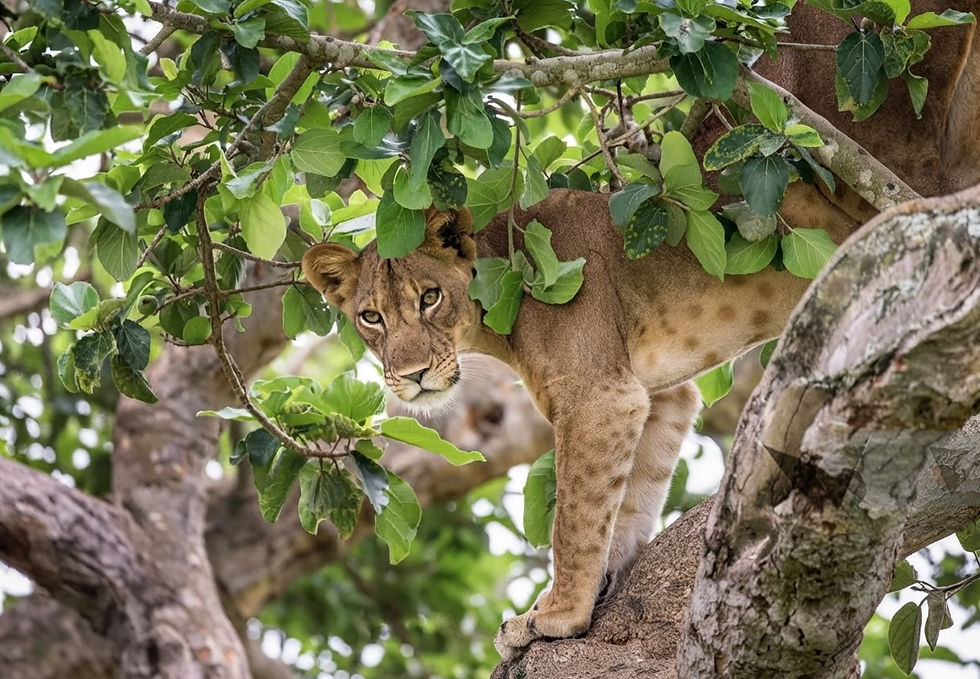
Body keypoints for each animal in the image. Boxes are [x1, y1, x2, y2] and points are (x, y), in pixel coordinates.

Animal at [302, 188, 861, 659]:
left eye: (430, 297)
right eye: (371, 317)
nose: (413, 376)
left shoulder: (597, 397)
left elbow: (574, 518)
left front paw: (557, 614)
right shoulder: (658, 393)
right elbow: (628, 499)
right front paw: (605, 580)